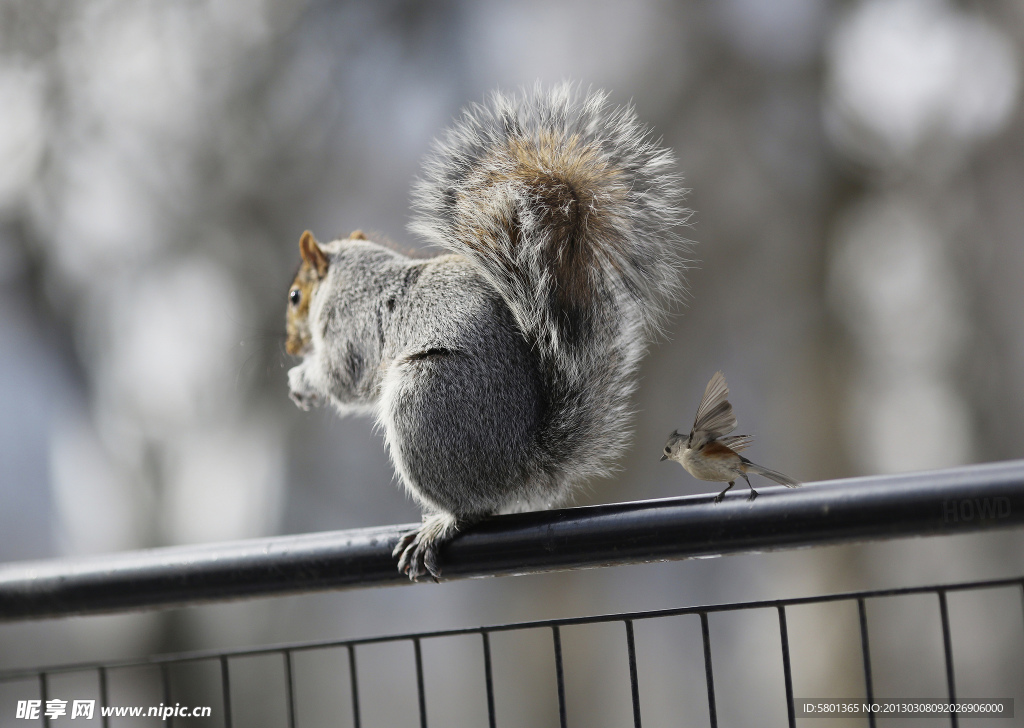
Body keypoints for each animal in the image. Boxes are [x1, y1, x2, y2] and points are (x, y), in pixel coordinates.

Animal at [284, 83, 692, 581]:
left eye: (295, 298)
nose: (289, 344)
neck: (354, 274)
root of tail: (523, 467)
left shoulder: (349, 325)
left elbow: (343, 379)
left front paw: (303, 380)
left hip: (422, 400)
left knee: (475, 508)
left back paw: (439, 527)